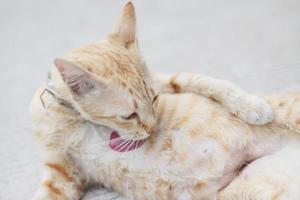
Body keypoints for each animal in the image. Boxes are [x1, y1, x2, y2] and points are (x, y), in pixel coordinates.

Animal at [28, 1, 300, 200]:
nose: (152, 128)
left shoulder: (168, 80)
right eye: (129, 115)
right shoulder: (62, 175)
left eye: (155, 99)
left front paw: (251, 106)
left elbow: (206, 81)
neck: (77, 119)